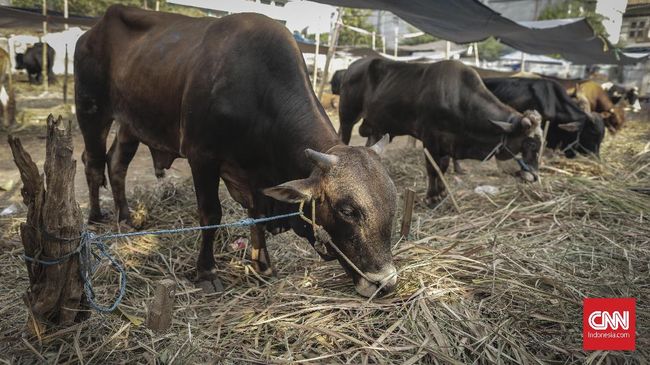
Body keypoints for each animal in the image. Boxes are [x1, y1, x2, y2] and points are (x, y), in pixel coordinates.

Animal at [76, 4, 400, 296]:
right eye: (347, 210)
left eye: (393, 203)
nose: (385, 283)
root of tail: (92, 31)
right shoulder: (202, 158)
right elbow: (211, 215)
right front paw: (207, 272)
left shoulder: (255, 177)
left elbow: (256, 216)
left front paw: (263, 265)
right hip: (92, 112)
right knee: (93, 163)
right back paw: (96, 217)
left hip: (130, 124)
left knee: (116, 164)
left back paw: (126, 217)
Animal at [336, 59, 540, 208]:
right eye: (530, 144)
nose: (536, 177)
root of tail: (353, 65)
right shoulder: (430, 139)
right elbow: (432, 169)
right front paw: (431, 197)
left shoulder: (448, 144)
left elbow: (443, 167)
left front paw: (441, 193)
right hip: (347, 116)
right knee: (342, 137)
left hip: (376, 126)